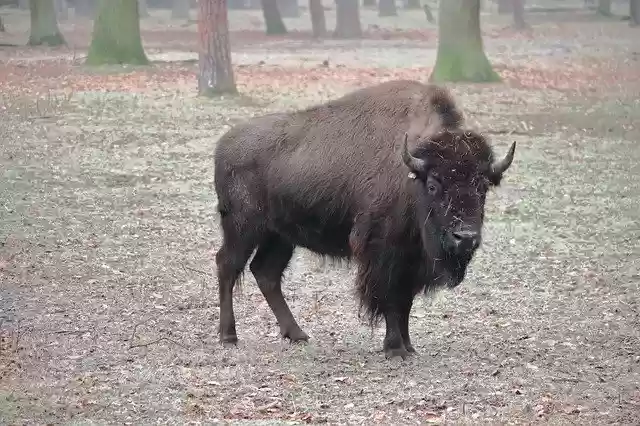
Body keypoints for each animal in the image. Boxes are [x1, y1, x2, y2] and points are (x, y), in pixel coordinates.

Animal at [213, 80, 516, 359]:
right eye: (433, 185)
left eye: (483, 187)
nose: (465, 238)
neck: (411, 175)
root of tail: (224, 144)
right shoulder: (383, 253)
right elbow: (389, 299)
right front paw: (395, 349)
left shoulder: (411, 259)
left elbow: (405, 302)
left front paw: (409, 346)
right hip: (243, 228)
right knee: (227, 265)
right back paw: (229, 336)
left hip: (280, 236)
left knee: (266, 272)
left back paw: (297, 334)